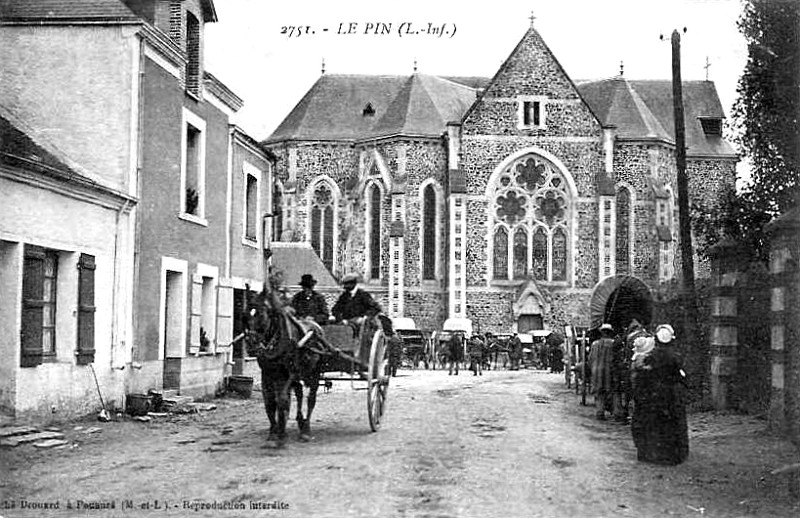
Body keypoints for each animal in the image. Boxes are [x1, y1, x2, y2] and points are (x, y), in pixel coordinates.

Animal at [244, 288, 324, 450]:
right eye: (246, 314)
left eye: (262, 314)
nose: (251, 345)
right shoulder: (267, 374)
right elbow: (270, 403)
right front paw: (273, 434)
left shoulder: (291, 373)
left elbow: (282, 400)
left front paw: (281, 435)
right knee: (299, 393)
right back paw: (300, 421)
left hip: (314, 373)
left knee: (310, 399)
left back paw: (306, 430)